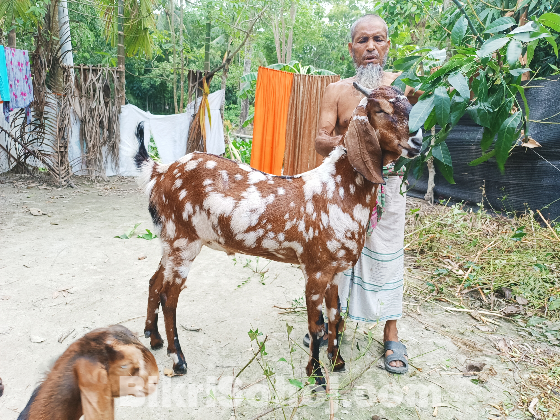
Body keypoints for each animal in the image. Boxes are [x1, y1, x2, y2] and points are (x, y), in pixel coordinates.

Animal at [136, 83, 422, 386]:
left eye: (411, 105)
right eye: (380, 109)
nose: (418, 142)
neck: (337, 190)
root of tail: (161, 172)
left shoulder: (336, 270)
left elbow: (336, 316)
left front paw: (337, 362)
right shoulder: (315, 268)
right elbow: (317, 326)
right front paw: (316, 376)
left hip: (170, 241)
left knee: (154, 282)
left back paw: (153, 338)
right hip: (184, 242)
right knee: (169, 298)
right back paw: (178, 360)